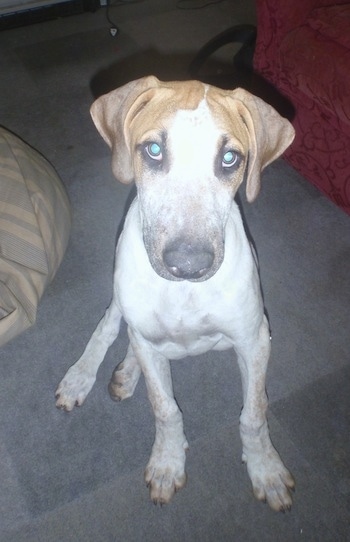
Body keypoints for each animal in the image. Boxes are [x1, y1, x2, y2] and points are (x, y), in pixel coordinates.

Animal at [55, 76, 296, 516]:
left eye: (230, 159)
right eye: (153, 150)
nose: (188, 265)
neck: (184, 294)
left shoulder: (254, 339)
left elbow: (254, 413)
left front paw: (265, 469)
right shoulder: (149, 344)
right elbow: (165, 408)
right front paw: (167, 463)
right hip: (122, 297)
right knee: (110, 327)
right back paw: (82, 377)